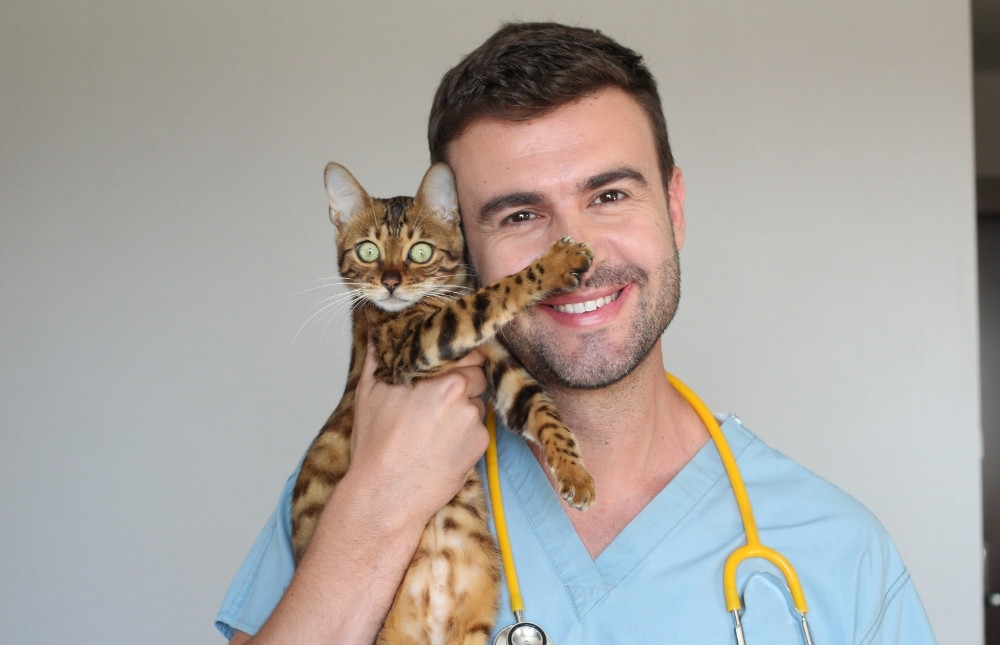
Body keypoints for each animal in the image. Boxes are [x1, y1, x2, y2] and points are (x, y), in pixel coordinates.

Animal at [290, 161, 596, 644]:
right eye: (367, 251)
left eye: (419, 252)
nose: (390, 283)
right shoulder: (414, 342)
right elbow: (491, 294)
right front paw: (553, 264)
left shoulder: (503, 371)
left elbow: (546, 413)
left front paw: (575, 474)